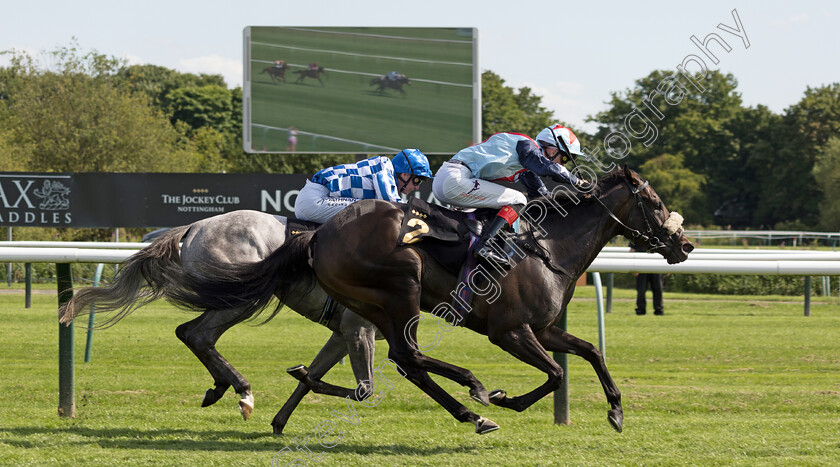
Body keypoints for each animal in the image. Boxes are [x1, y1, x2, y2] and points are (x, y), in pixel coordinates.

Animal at [55, 209, 378, 436]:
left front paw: (280, 420)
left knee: (191, 333)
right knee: (197, 334)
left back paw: (221, 387)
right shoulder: (358, 328)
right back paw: (243, 392)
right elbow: (363, 389)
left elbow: (313, 377)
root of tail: (194, 227)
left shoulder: (344, 332)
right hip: (241, 295)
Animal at [149, 168, 688, 436]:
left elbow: (590, 352)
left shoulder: (542, 328)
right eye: (655, 202)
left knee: (407, 361)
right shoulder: (509, 331)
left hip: (374, 306)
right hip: (400, 286)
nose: (683, 244)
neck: (546, 248)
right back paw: (475, 393)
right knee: (407, 356)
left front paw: (616, 412)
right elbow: (555, 373)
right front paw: (506, 398)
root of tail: (318, 237)